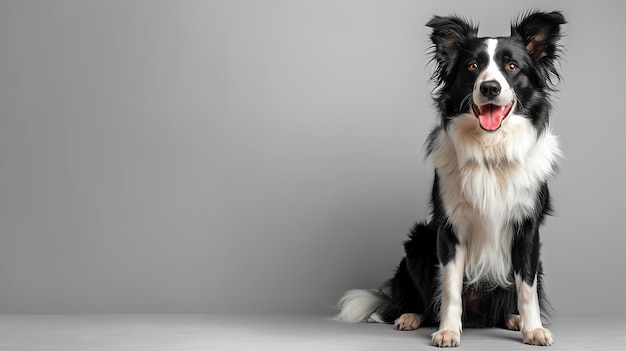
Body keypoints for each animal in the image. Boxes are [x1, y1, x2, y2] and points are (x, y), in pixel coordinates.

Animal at [336, 9, 564, 348]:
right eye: (472, 66)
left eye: (512, 66)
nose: (490, 88)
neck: (490, 151)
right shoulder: (450, 228)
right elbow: (450, 288)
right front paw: (447, 331)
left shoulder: (527, 229)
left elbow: (527, 288)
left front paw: (532, 328)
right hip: (418, 241)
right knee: (423, 300)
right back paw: (411, 316)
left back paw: (512, 319)